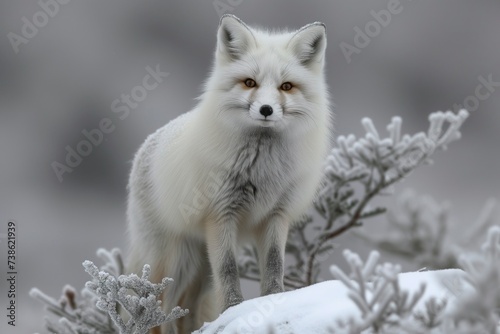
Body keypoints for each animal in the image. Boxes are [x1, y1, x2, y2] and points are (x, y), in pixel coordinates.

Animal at [127, 14, 334, 332]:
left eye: (286, 86)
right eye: (250, 82)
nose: (266, 109)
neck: (262, 168)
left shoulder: (276, 215)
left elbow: (274, 266)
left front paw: (274, 301)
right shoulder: (220, 215)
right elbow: (228, 270)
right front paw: (234, 309)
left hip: (199, 267)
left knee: (187, 309)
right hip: (173, 262)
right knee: (156, 313)